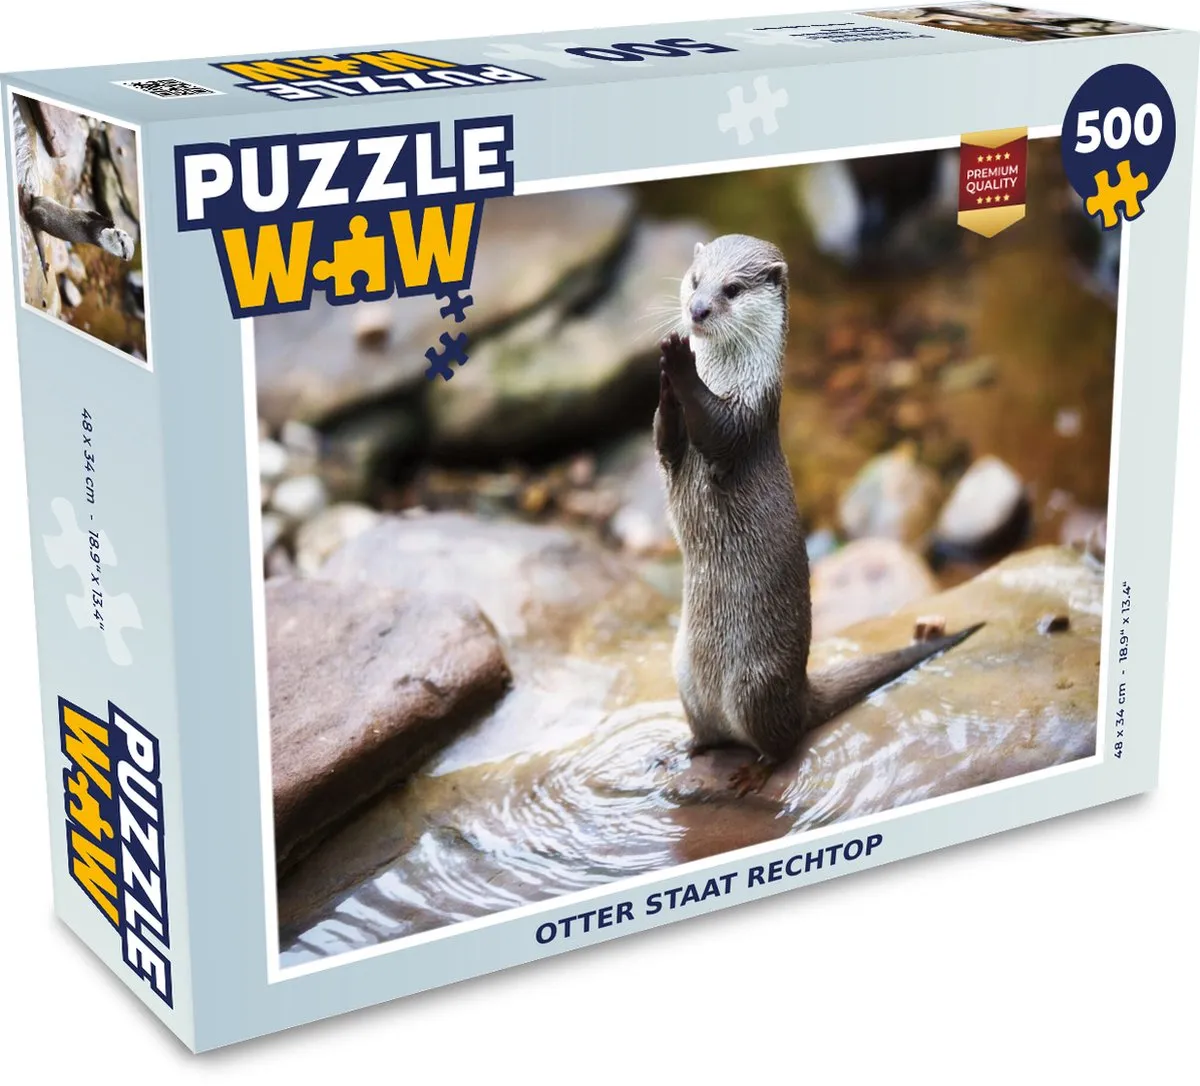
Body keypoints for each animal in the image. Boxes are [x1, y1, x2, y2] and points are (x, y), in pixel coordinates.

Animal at [654, 234, 980, 791]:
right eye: (696, 280)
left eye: (732, 289)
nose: (696, 311)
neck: (730, 377)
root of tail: (801, 689)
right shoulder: (674, 452)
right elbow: (664, 439)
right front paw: (664, 381)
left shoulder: (748, 417)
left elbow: (717, 427)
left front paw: (678, 366)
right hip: (684, 676)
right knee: (709, 733)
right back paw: (681, 751)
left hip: (755, 685)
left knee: (781, 742)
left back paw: (754, 774)